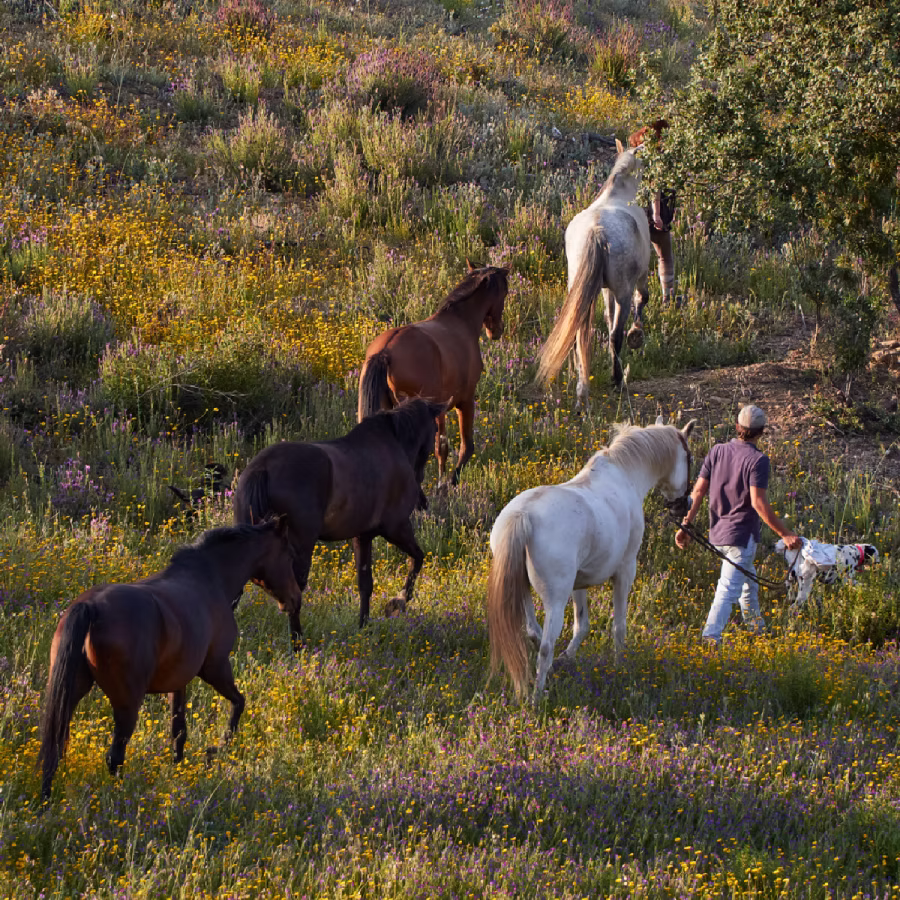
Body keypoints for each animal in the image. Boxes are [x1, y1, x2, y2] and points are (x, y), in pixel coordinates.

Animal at [38, 518, 301, 801]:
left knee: (54, 748)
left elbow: (179, 731)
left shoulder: (179, 682)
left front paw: (180, 768)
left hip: (72, 693)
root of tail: (91, 607)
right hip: (127, 704)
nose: (295, 600)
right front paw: (214, 751)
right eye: (289, 555)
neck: (211, 578)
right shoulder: (216, 668)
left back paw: (46, 799)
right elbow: (239, 704)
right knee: (114, 757)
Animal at [233, 397, 447, 649]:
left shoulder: (363, 536)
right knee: (294, 594)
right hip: (301, 547)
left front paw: (364, 626)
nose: (422, 499)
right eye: (435, 429)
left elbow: (365, 583)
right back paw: (297, 644)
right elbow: (418, 558)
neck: (393, 444)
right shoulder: (396, 528)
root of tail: (262, 468)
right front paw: (399, 601)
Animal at [358, 262, 509, 485]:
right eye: (505, 292)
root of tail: (385, 352)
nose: (497, 331)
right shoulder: (463, 401)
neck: (460, 321)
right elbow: (458, 447)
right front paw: (448, 482)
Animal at [487, 418, 695, 702]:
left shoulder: (579, 583)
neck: (624, 475)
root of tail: (523, 516)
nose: (684, 505)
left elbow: (582, 625)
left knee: (532, 630)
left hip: (522, 590)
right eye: (689, 457)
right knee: (545, 646)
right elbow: (619, 626)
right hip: (555, 599)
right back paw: (537, 698)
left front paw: (568, 658)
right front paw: (620, 664)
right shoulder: (625, 571)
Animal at [536, 142, 652, 407]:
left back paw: (581, 387)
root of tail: (596, 230)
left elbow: (608, 320)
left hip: (580, 290)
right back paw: (617, 380)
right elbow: (642, 299)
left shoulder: (605, 290)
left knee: (579, 335)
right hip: (622, 292)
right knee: (616, 335)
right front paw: (636, 334)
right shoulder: (637, 279)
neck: (620, 194)